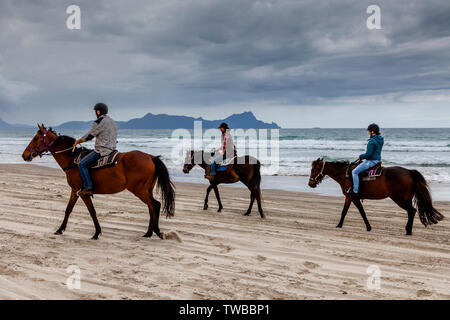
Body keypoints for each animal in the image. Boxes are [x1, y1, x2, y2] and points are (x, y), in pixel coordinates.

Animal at [22, 125, 175, 240]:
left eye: (35, 138)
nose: (24, 155)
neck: (72, 160)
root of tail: (151, 157)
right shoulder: (75, 191)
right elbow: (68, 209)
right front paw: (60, 229)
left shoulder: (82, 192)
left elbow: (92, 211)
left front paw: (96, 233)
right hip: (147, 190)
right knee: (151, 208)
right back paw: (148, 232)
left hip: (140, 190)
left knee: (155, 205)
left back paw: (156, 231)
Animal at [310, 158, 442, 235]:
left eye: (314, 169)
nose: (310, 184)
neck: (345, 175)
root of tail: (409, 171)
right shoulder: (348, 197)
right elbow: (344, 212)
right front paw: (339, 225)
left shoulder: (354, 197)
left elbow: (362, 212)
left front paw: (368, 227)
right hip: (406, 198)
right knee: (411, 212)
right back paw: (408, 229)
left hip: (399, 199)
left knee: (412, 211)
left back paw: (408, 231)